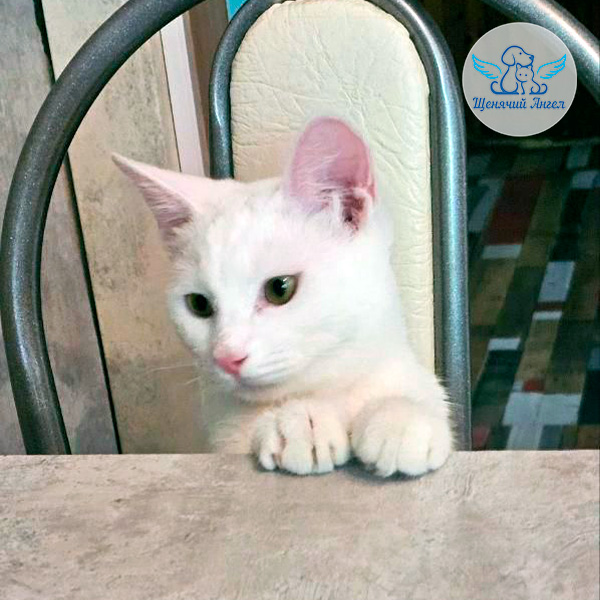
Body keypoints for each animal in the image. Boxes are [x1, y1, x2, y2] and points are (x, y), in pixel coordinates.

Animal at [113, 117, 453, 477]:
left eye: (280, 288)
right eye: (199, 304)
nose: (227, 357)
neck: (329, 393)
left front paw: (401, 418)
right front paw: (299, 422)